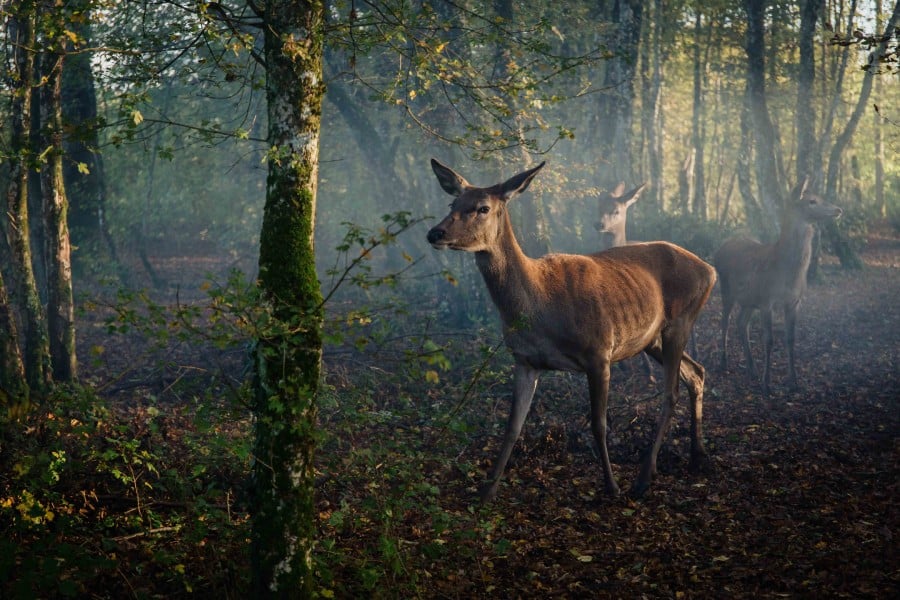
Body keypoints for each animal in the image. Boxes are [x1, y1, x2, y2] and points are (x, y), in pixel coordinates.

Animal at [428, 159, 716, 502]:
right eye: (452, 203)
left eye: (483, 207)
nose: (435, 232)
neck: (540, 307)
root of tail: (710, 269)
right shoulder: (525, 359)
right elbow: (513, 426)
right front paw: (488, 490)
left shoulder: (599, 351)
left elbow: (599, 424)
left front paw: (612, 486)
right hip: (652, 338)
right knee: (696, 372)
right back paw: (697, 455)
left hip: (680, 320)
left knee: (671, 392)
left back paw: (644, 477)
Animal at [712, 178, 840, 394]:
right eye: (812, 201)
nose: (838, 209)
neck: (786, 273)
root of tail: (719, 249)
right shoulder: (767, 301)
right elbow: (769, 340)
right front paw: (767, 383)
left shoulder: (794, 302)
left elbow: (791, 339)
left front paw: (794, 381)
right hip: (726, 289)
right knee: (725, 321)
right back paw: (724, 362)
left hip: (749, 300)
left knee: (741, 323)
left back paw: (751, 368)